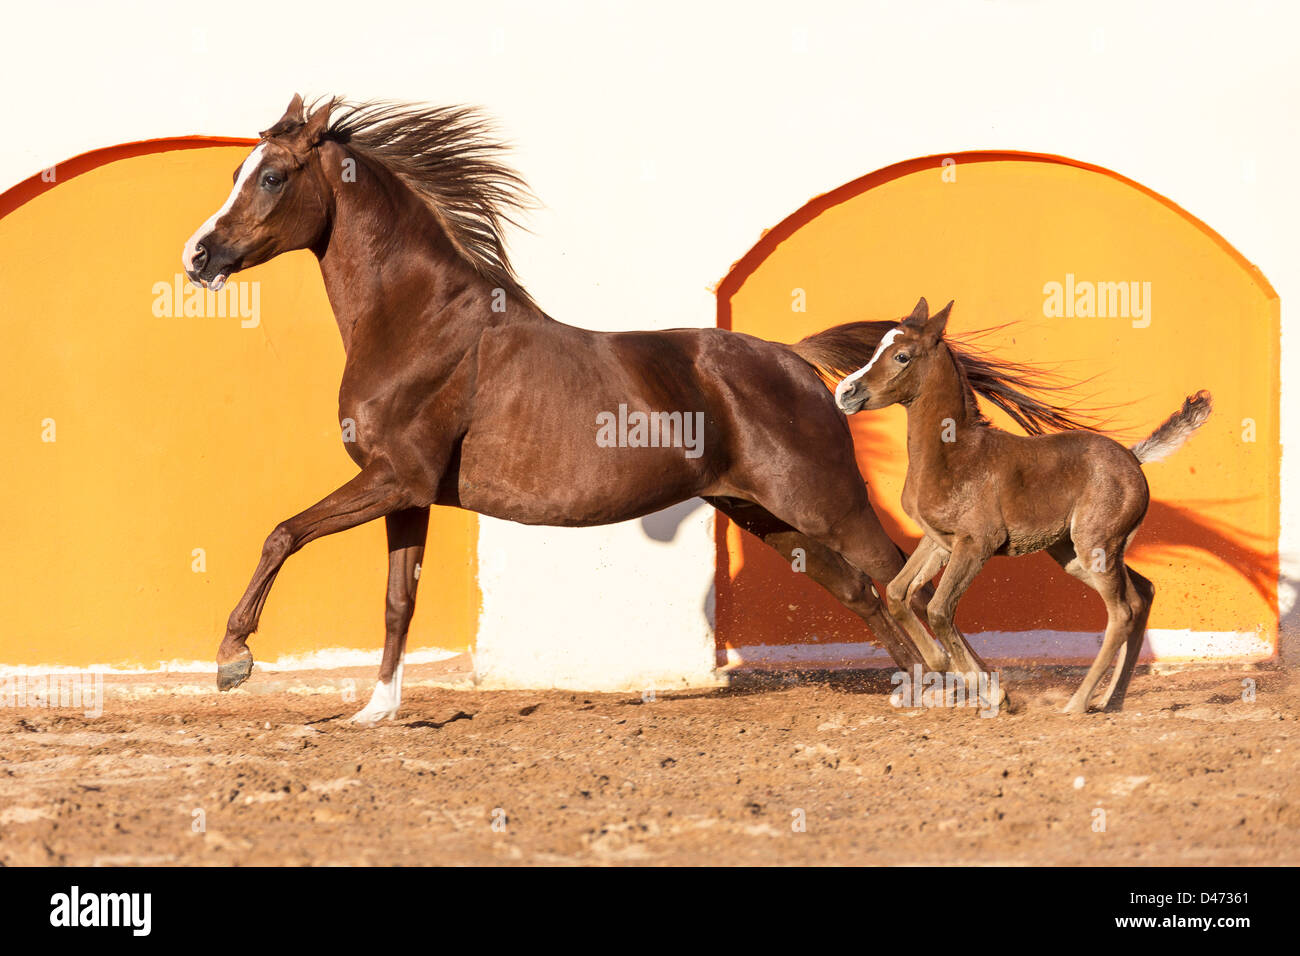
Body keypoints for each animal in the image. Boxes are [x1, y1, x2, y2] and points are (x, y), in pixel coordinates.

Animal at [181, 95, 1084, 723]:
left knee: (897, 575)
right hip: (766, 516)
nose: (198, 256)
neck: (420, 322)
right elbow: (397, 600)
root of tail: (797, 361)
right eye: (234, 173)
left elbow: (282, 532)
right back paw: (922, 688)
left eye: (271, 176)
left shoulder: (390, 479)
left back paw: (973, 689)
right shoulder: (405, 492)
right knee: (865, 592)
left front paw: (232, 658)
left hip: (822, 501)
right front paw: (376, 710)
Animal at [835, 297, 1212, 713]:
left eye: (902, 355)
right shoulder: (938, 540)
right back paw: (1111, 700)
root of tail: (1133, 457)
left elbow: (939, 610)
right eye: (875, 348)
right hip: (1075, 553)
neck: (953, 453)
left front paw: (993, 693)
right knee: (1142, 593)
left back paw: (1078, 702)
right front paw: (947, 669)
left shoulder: (977, 543)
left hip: (1094, 546)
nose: (846, 392)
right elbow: (899, 593)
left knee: (1123, 610)